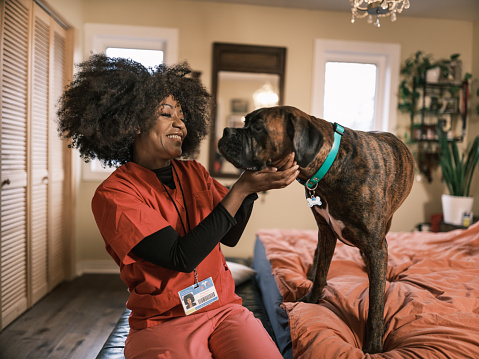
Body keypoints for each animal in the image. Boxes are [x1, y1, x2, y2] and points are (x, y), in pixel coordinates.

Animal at [219, 105, 414, 352]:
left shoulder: (376, 246)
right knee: (318, 254)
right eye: (245, 122)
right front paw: (312, 298)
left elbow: (376, 302)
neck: (333, 166)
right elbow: (322, 270)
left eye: (258, 127)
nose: (226, 131)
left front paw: (374, 345)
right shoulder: (326, 232)